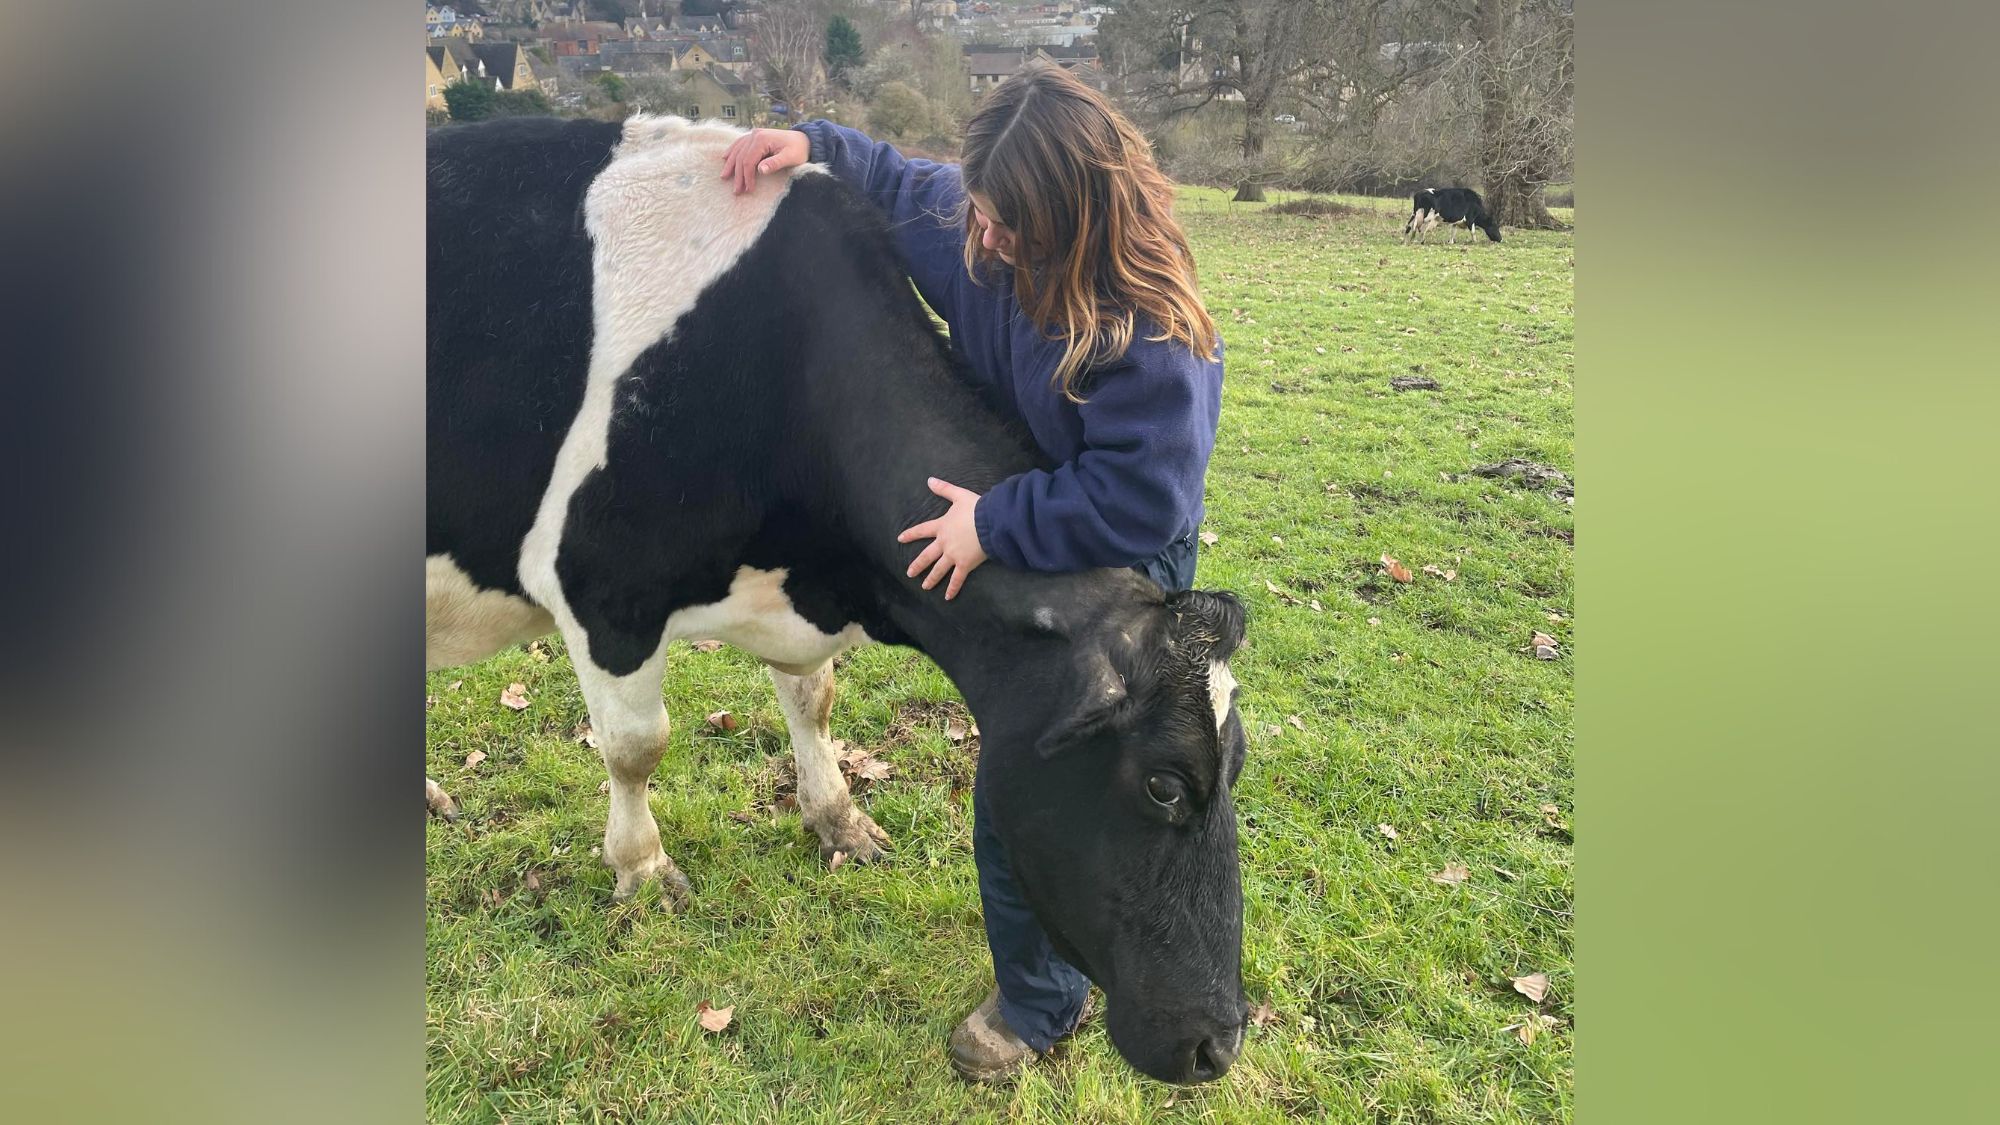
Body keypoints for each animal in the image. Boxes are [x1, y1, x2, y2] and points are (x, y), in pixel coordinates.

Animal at [428, 111, 1248, 1080]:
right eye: (1164, 785)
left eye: (1234, 768)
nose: (1220, 1040)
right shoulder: (603, 588)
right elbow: (635, 746)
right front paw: (643, 868)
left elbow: (812, 699)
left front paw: (839, 819)